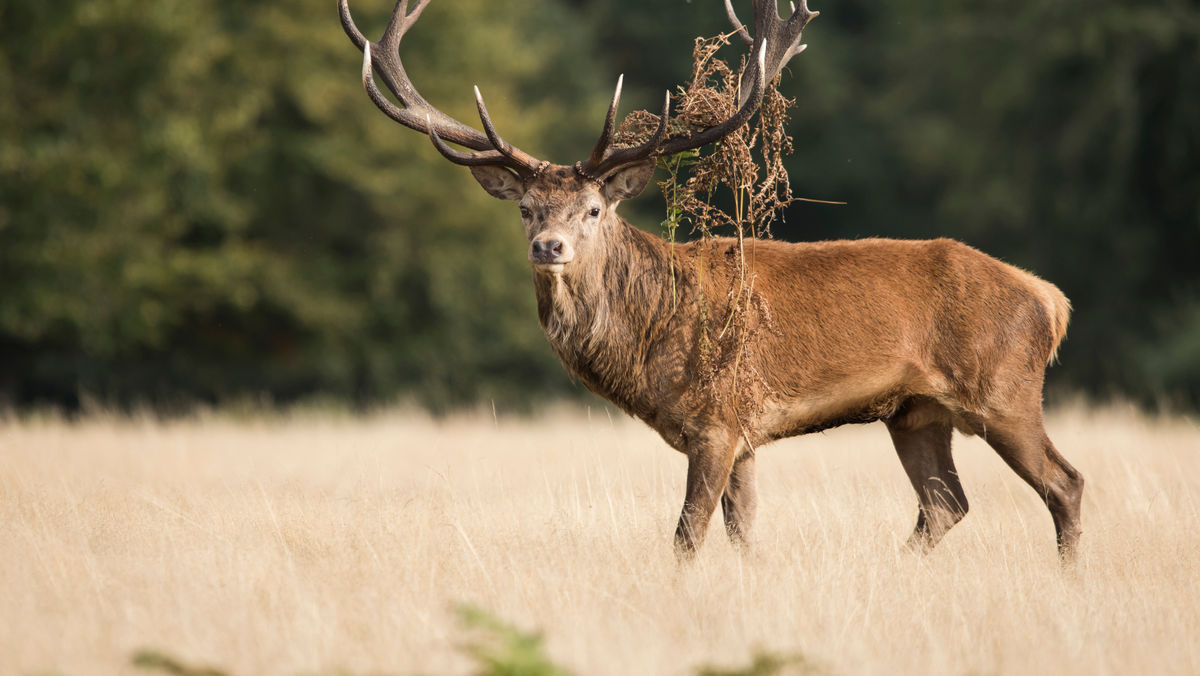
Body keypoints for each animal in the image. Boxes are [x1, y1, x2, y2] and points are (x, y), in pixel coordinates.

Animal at [340, 0, 1089, 561]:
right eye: (525, 208)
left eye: (593, 209)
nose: (548, 247)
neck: (647, 345)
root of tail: (1051, 300)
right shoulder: (746, 436)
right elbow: (742, 533)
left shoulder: (719, 419)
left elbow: (687, 535)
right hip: (916, 412)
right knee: (944, 505)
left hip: (1003, 391)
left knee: (1065, 482)